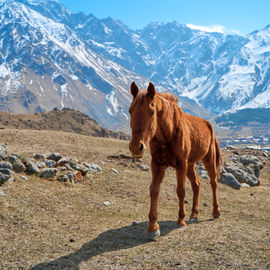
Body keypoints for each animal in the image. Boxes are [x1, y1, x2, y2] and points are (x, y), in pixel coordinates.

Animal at [129, 81, 224, 239]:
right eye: (130, 110)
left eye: (152, 112)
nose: (136, 147)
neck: (169, 133)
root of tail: (208, 124)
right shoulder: (158, 164)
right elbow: (154, 190)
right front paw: (153, 227)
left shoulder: (181, 165)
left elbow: (181, 191)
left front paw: (181, 220)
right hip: (190, 165)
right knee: (196, 185)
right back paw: (194, 215)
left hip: (207, 160)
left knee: (213, 183)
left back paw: (216, 211)